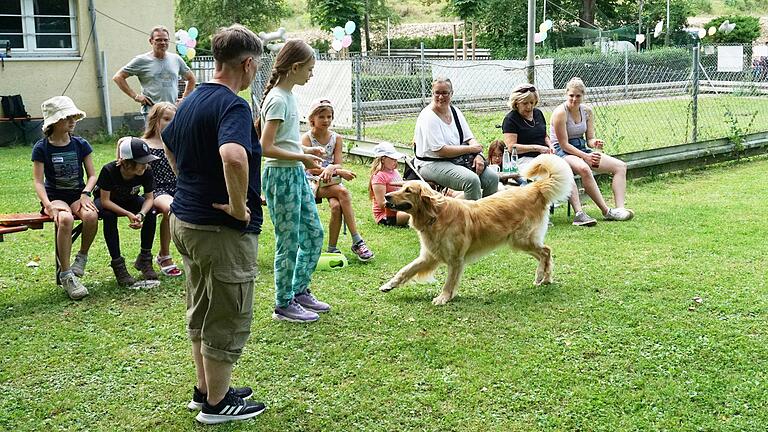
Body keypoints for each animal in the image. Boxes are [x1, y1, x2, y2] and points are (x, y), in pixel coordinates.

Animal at [380, 154, 572, 306]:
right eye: (400, 187)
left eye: (408, 190)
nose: (386, 196)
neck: (435, 216)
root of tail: (535, 188)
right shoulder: (429, 256)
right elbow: (406, 270)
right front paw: (388, 285)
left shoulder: (455, 259)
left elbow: (449, 282)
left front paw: (443, 298)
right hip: (519, 242)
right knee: (545, 254)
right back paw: (545, 278)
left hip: (521, 240)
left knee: (546, 251)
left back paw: (542, 276)